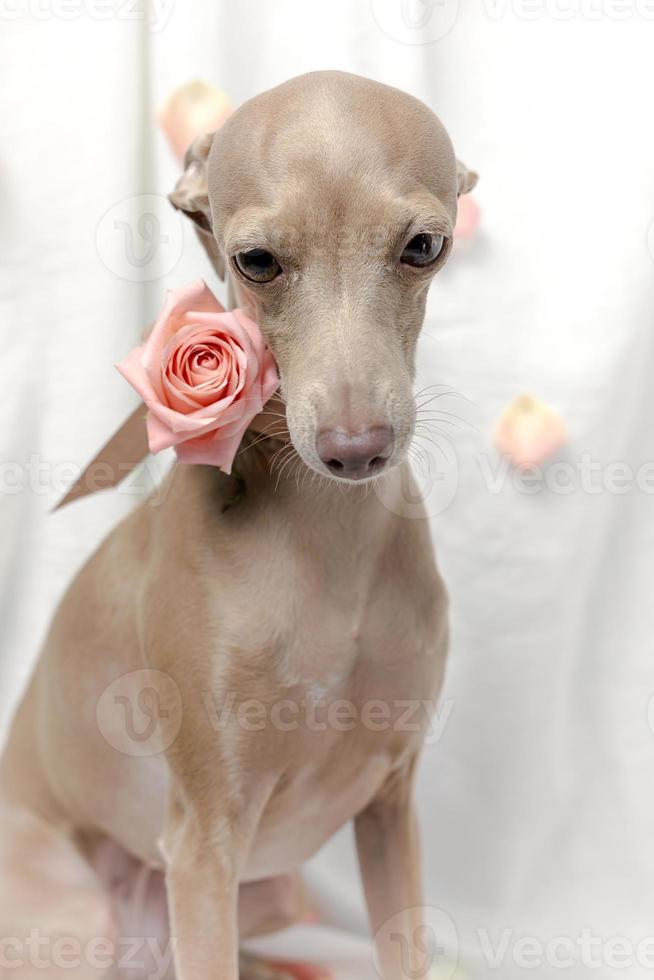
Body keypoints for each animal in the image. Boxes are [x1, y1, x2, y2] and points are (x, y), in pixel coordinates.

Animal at [2, 71, 480, 980]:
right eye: (254, 261)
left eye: (425, 245)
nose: (355, 450)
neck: (329, 546)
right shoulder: (204, 841)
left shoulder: (391, 806)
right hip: (84, 910)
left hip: (272, 893)